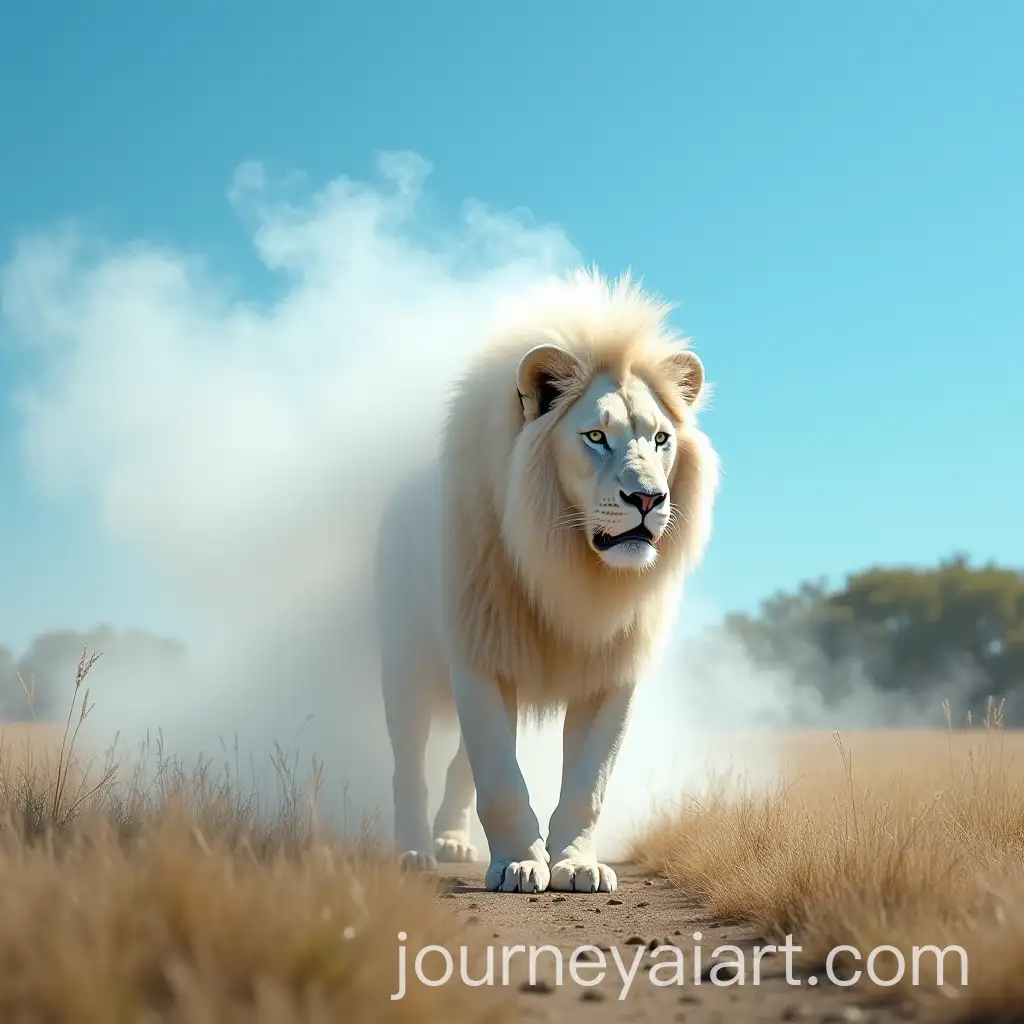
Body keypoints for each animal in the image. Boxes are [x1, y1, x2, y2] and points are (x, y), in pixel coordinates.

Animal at [374, 268, 719, 893]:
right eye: (596, 437)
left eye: (660, 439)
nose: (648, 499)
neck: (567, 563)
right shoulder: (479, 653)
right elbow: (500, 778)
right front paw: (517, 863)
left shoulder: (613, 668)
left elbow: (588, 782)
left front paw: (577, 863)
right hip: (406, 663)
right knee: (409, 765)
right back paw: (414, 849)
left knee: (458, 766)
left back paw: (451, 838)